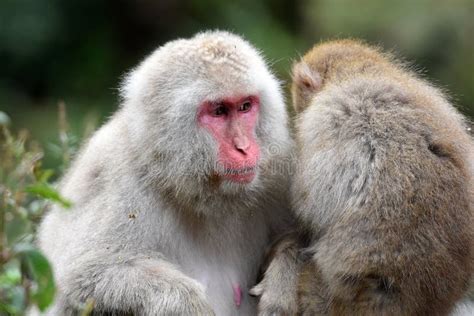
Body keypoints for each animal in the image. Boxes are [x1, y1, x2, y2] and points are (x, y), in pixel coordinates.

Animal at [39, 30, 294, 316]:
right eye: (218, 111)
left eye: (245, 106)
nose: (244, 147)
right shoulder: (119, 178)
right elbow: (81, 276)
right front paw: (189, 304)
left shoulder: (279, 169)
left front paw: (284, 284)